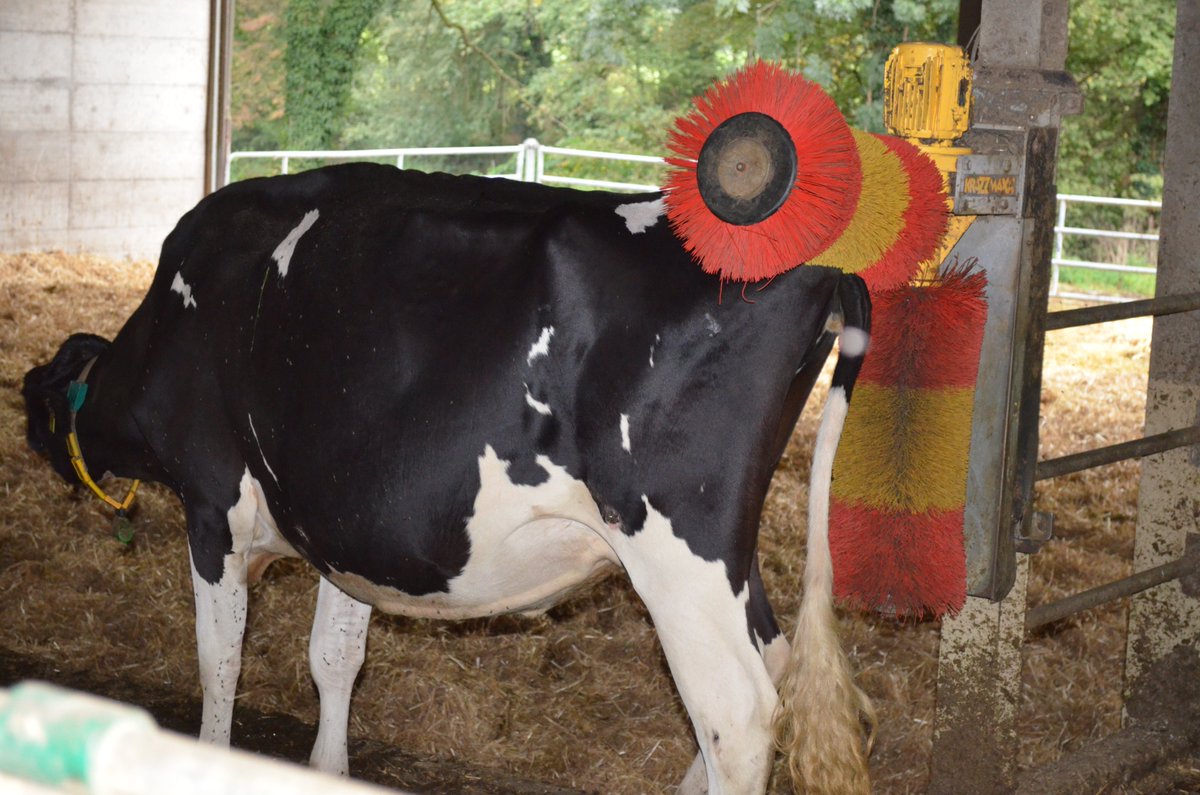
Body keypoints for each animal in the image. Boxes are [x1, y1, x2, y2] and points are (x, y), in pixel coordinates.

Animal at [23, 162, 872, 795]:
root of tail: (819, 270)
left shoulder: (212, 502)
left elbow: (219, 656)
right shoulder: (339, 528)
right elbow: (334, 656)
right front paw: (328, 768)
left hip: (676, 550)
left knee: (737, 712)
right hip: (728, 554)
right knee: (773, 663)